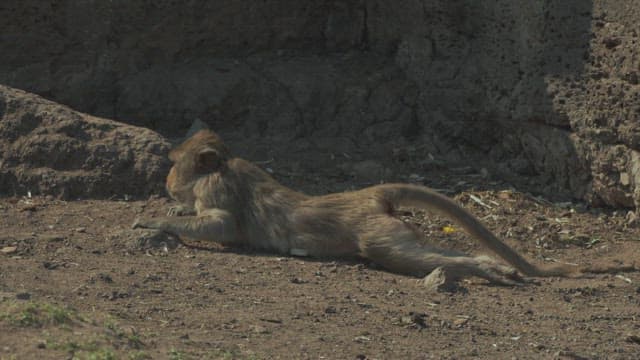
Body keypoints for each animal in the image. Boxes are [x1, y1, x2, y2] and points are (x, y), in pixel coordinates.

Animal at [134, 128, 576, 286]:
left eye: (174, 163)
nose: (167, 182)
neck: (220, 167)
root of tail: (367, 194)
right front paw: (175, 213)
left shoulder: (217, 191)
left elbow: (224, 226)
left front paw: (154, 221)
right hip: (388, 225)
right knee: (421, 249)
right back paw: (487, 264)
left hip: (374, 230)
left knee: (393, 253)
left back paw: (478, 269)